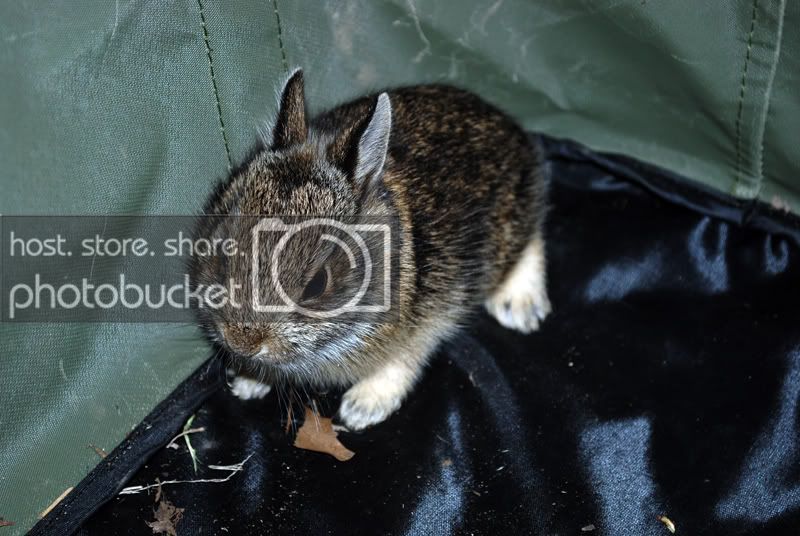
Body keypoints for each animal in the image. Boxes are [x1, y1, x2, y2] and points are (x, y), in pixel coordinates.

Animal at [190, 69, 550, 431]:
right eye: (223, 254)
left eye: (317, 285)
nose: (242, 342)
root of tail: (507, 125)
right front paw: (247, 382)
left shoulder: (428, 318)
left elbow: (404, 360)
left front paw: (361, 408)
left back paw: (520, 306)